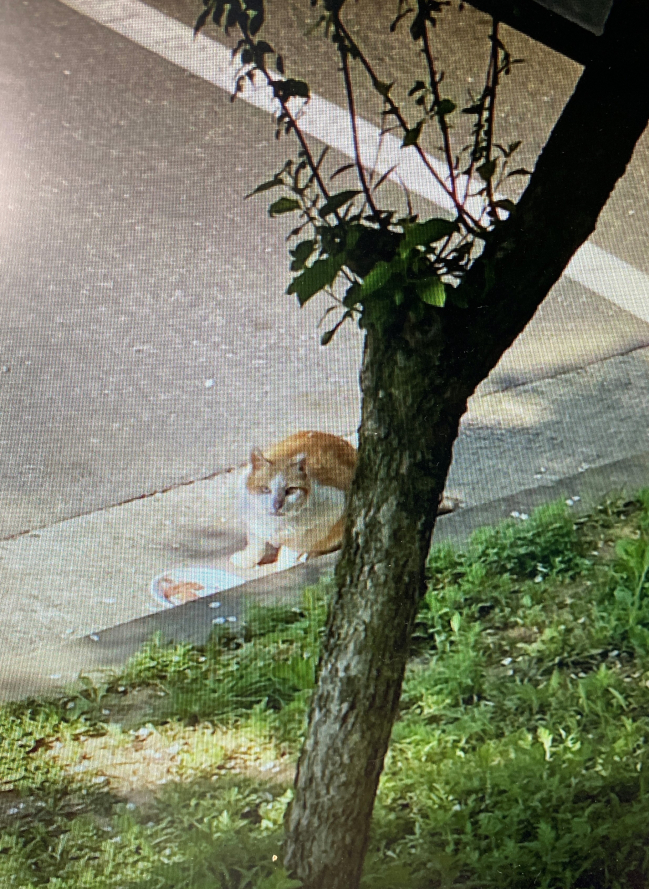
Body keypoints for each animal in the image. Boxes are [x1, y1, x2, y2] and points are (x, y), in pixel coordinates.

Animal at [232, 430, 356, 568]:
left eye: (291, 490)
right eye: (265, 489)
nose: (277, 505)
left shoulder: (336, 508)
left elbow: (294, 545)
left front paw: (284, 565)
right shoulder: (249, 515)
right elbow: (255, 542)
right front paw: (247, 559)